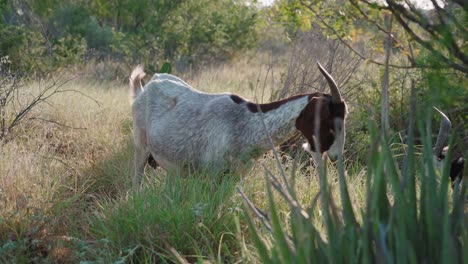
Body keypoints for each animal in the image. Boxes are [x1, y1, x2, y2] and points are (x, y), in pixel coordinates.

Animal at [130, 62, 346, 186]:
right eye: (331, 121)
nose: (335, 157)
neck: (246, 125)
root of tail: (144, 89)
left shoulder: (235, 179)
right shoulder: (213, 176)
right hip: (140, 147)